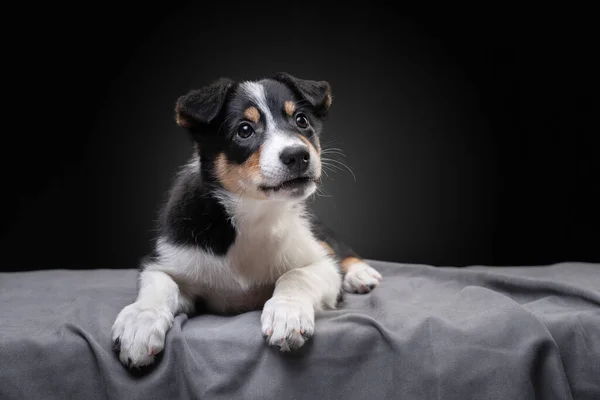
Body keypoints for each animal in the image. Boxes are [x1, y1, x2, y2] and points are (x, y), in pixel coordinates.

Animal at [110, 72, 382, 368]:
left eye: (301, 120)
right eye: (244, 130)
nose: (298, 155)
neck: (254, 213)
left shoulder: (322, 264)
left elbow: (296, 274)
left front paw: (287, 314)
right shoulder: (166, 260)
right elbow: (160, 284)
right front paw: (139, 323)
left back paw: (360, 273)